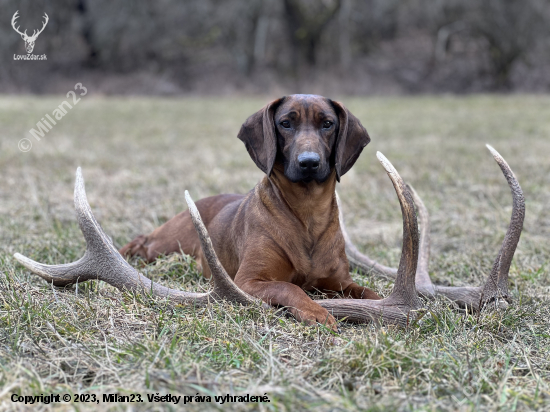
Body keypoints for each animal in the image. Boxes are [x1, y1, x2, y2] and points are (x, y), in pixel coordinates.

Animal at [121, 95, 382, 330]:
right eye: (285, 123)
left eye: (327, 123)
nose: (309, 162)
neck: (308, 211)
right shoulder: (247, 281)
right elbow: (289, 286)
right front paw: (315, 311)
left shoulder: (340, 283)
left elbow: (369, 292)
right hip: (168, 244)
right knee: (143, 241)